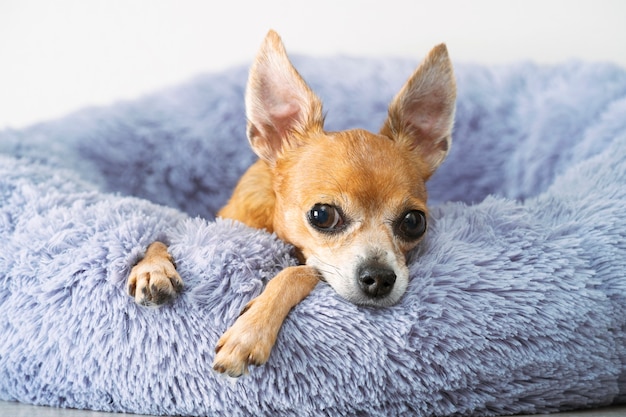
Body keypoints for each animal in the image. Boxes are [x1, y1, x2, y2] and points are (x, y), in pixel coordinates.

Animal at [125, 28, 454, 374]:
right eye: (322, 215)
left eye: (414, 222)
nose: (379, 278)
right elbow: (161, 237)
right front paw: (152, 268)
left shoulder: (314, 268)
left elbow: (295, 273)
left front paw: (250, 331)